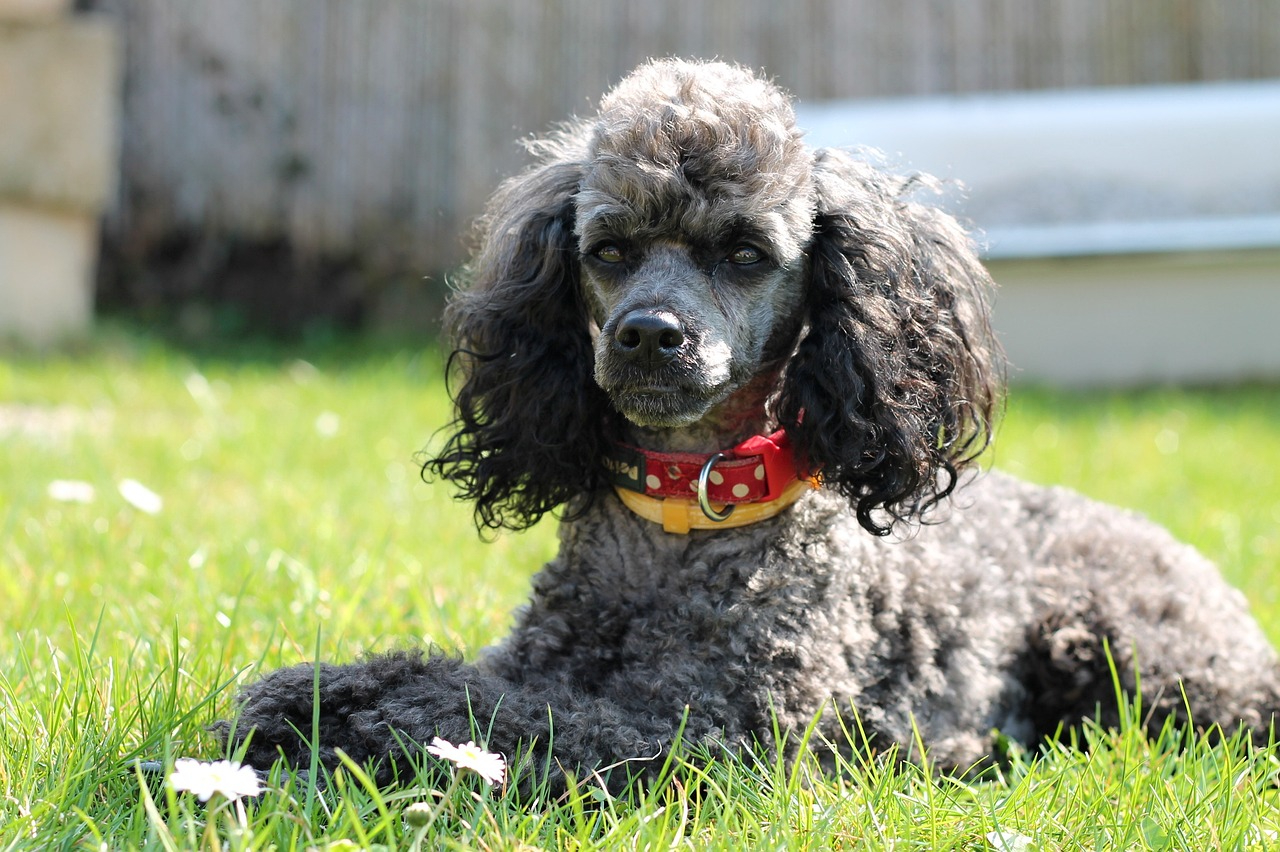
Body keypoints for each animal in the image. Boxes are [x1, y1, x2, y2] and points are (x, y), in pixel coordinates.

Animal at [222, 58, 1280, 788]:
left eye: (743, 252)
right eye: (608, 251)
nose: (650, 335)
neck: (683, 521)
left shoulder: (714, 732)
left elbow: (512, 715)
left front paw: (332, 710)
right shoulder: (546, 658)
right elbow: (488, 681)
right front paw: (323, 692)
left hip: (1153, 660)